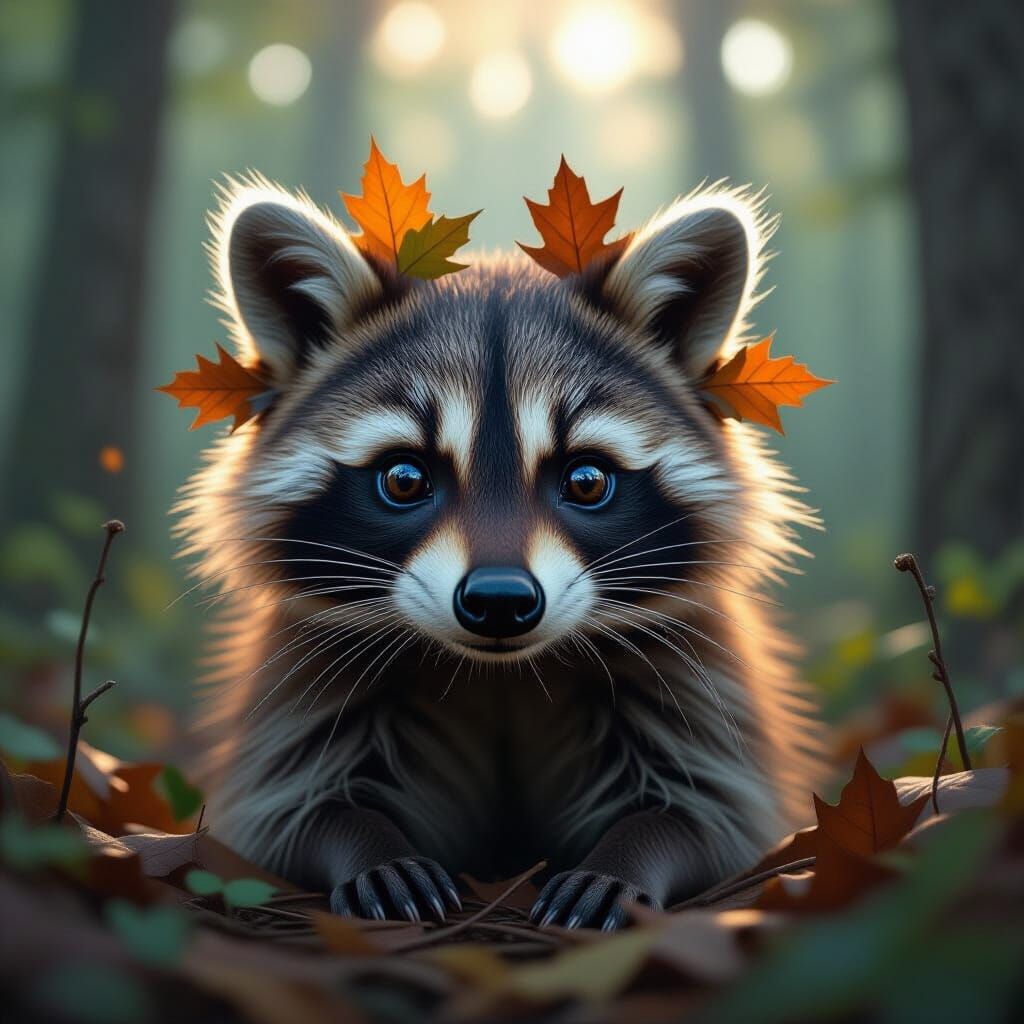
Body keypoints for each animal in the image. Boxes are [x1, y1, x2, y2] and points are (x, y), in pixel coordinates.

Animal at [175, 174, 820, 930]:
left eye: (586, 480)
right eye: (404, 479)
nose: (500, 602)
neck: (503, 674)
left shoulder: (692, 678)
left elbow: (712, 815)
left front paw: (628, 857)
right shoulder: (307, 680)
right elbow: (290, 808)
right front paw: (368, 848)